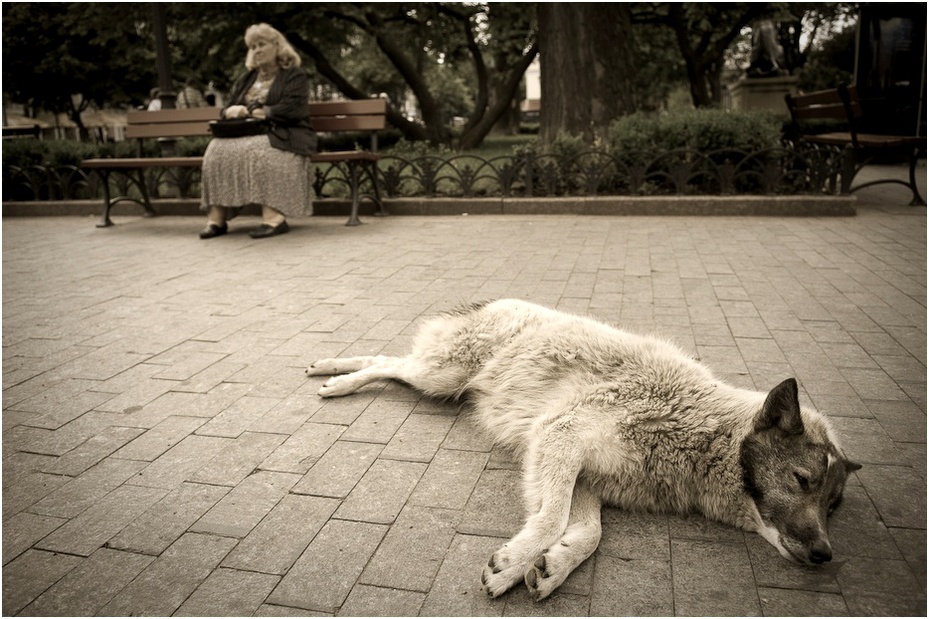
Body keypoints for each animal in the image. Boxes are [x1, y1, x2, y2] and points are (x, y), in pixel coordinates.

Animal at [308, 300, 860, 600]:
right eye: (802, 481)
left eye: (832, 506)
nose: (824, 555)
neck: (699, 430)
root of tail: (494, 302)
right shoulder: (561, 435)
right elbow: (551, 518)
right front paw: (515, 561)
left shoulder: (584, 477)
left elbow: (588, 533)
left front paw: (551, 567)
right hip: (442, 376)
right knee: (388, 362)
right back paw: (337, 378)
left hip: (441, 378)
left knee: (389, 358)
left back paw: (330, 369)